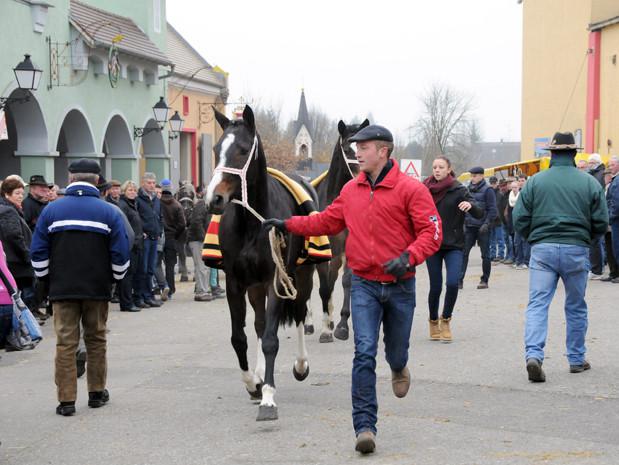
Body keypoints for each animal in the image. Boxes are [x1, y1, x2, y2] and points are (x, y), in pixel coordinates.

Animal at [206, 104, 318, 420]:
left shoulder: (275, 281)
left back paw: (301, 365)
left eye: (243, 150)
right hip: (254, 287)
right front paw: (253, 383)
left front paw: (268, 396)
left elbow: (270, 339)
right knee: (258, 323)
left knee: (301, 312)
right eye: (217, 149)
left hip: (302, 276)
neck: (251, 224)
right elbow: (240, 337)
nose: (214, 198)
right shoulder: (235, 283)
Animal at [306, 118, 368, 340]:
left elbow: (345, 281)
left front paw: (341, 324)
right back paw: (309, 323)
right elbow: (323, 288)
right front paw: (325, 330)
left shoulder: (348, 247)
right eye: (348, 148)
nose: (362, 175)